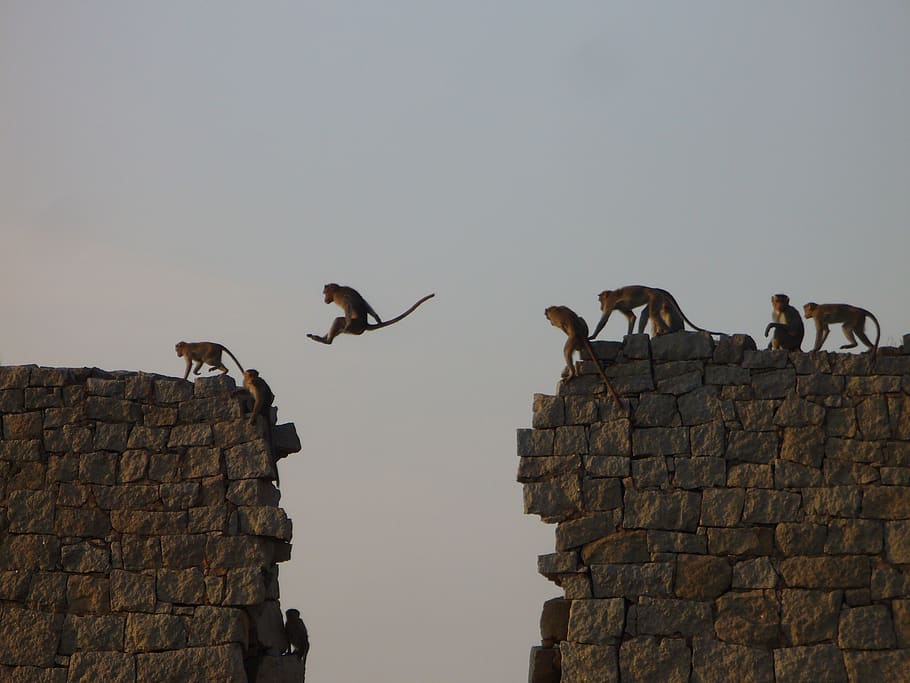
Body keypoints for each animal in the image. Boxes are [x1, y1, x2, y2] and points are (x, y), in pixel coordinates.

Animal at [307, 283, 435, 344]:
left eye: (325, 293)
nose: (324, 300)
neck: (337, 291)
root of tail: (365, 325)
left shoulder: (343, 296)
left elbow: (348, 308)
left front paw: (347, 325)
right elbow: (364, 302)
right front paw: (377, 318)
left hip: (356, 327)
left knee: (339, 320)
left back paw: (327, 341)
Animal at [589, 286, 723, 339]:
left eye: (600, 300)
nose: (600, 306)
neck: (610, 294)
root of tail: (654, 289)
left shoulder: (610, 302)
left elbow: (604, 320)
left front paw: (592, 336)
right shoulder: (618, 306)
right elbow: (632, 317)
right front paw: (629, 335)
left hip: (655, 298)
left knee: (652, 314)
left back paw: (669, 331)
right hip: (656, 300)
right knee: (645, 313)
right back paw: (641, 334)